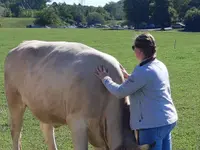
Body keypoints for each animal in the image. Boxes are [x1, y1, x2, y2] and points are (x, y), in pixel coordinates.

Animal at [3, 40, 153, 150]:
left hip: (44, 105)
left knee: (47, 131)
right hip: (14, 101)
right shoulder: (77, 122)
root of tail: (21, 45)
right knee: (16, 132)